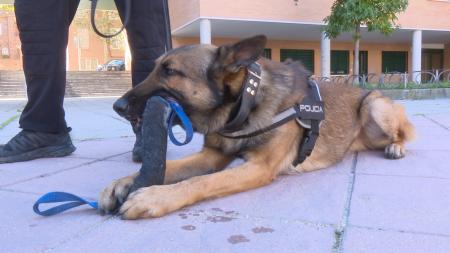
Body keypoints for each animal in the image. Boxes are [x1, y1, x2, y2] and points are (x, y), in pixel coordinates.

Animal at [98, 35, 414, 219]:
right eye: (155, 68)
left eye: (170, 72)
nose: (117, 107)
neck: (244, 102)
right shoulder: (212, 156)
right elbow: (173, 168)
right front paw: (124, 182)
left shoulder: (259, 167)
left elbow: (201, 182)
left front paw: (155, 196)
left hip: (374, 106)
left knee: (405, 134)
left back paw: (396, 147)